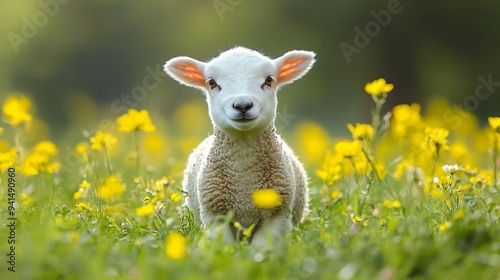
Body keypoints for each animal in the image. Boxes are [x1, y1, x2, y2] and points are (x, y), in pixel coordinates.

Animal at [165, 46, 316, 247]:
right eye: (212, 83)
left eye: (269, 80)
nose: (242, 105)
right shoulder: (214, 215)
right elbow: (225, 247)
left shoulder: (278, 215)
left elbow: (262, 247)